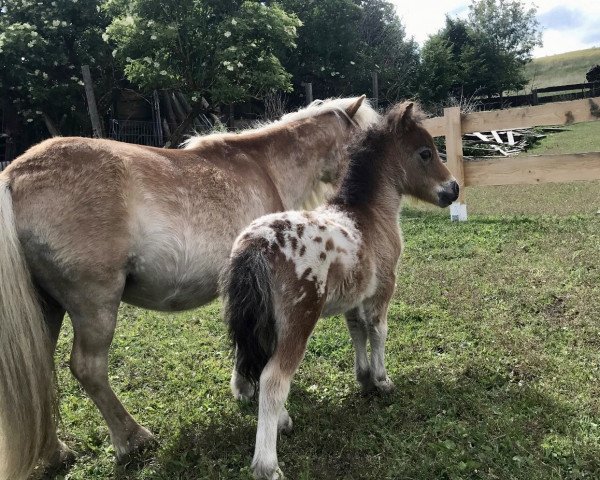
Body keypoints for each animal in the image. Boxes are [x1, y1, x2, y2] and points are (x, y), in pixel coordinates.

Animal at [0, 95, 376, 478]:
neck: (266, 168)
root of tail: (15, 177)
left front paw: (242, 387)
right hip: (94, 304)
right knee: (88, 369)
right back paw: (132, 439)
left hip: (47, 307)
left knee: (37, 378)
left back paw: (55, 452)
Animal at [223, 102, 458, 480]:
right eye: (425, 152)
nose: (453, 190)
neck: (368, 214)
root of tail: (257, 246)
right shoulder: (383, 288)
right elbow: (378, 330)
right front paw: (382, 381)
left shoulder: (355, 294)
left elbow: (356, 330)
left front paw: (363, 378)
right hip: (298, 323)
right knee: (273, 379)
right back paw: (267, 465)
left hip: (264, 324)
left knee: (258, 367)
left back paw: (283, 422)